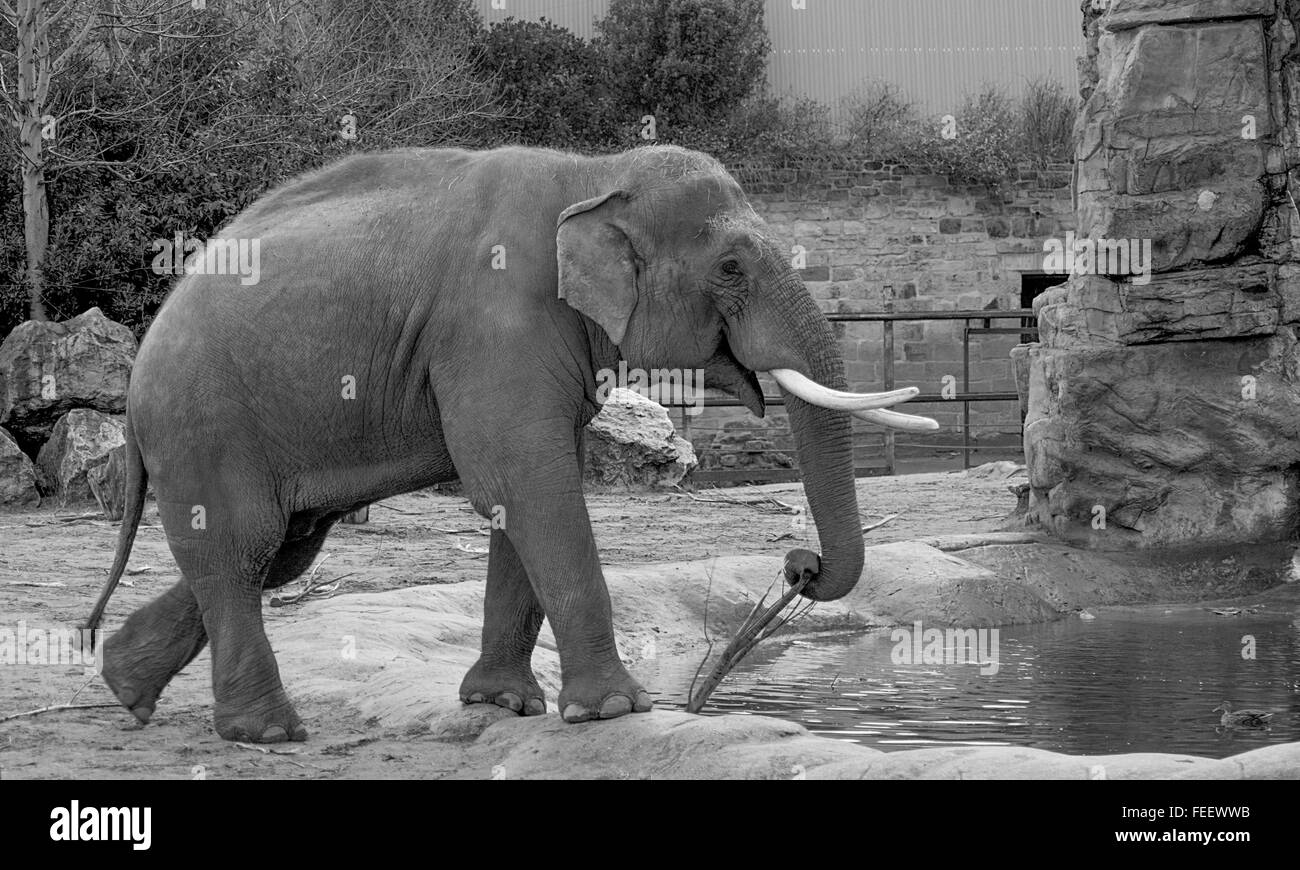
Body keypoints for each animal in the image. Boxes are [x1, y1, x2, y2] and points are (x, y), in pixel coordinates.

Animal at [82, 145, 936, 743]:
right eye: (730, 266)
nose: (799, 563)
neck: (593, 172)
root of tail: (136, 366)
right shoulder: (496, 322)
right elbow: (522, 479)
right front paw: (616, 712)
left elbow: (520, 491)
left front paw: (503, 703)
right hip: (205, 420)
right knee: (245, 545)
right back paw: (266, 732)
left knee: (281, 548)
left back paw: (125, 684)